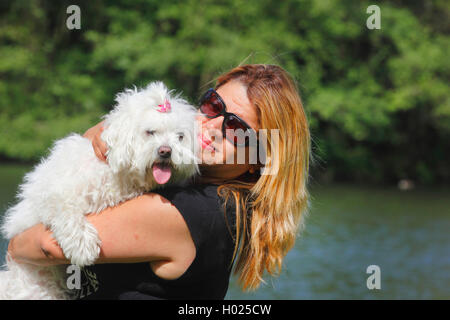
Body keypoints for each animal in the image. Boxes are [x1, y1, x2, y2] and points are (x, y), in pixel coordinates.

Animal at [0, 81, 199, 298]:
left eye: (180, 136)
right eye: (150, 132)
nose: (166, 151)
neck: (116, 172)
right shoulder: (53, 194)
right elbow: (66, 213)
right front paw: (82, 245)